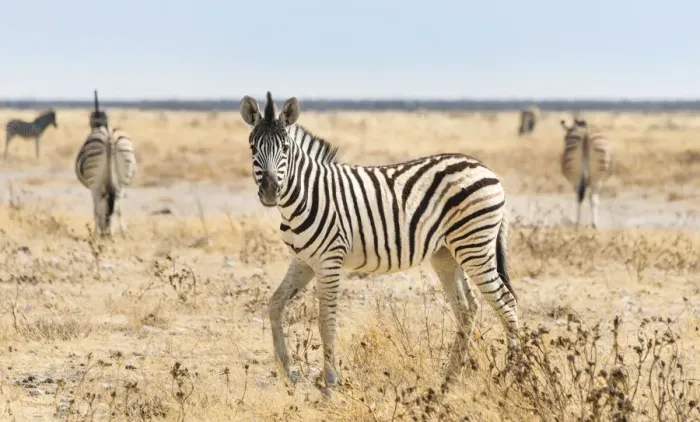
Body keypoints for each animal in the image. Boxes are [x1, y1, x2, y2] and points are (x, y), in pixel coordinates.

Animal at [240, 92, 519, 390]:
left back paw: (514, 375)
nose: (270, 191)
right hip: (447, 253)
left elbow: (326, 322)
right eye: (253, 148)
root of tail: (487, 169)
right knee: (468, 308)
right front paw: (287, 370)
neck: (306, 195)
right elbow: (275, 305)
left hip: (475, 246)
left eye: (285, 149)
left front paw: (330, 382)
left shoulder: (329, 261)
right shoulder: (302, 261)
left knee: (507, 303)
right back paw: (449, 379)